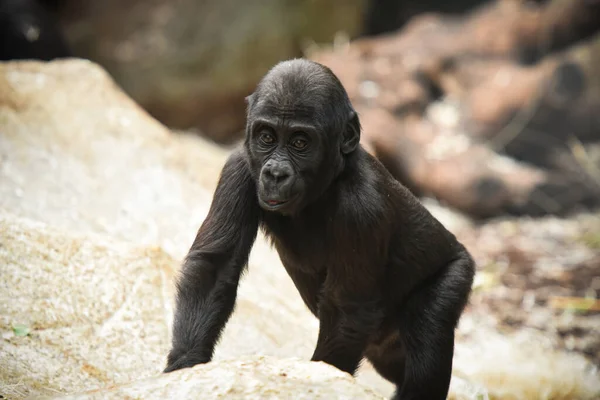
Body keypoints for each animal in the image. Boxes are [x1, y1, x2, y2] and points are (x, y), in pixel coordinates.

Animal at [164, 57, 474, 398]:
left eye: (300, 142)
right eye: (267, 137)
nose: (275, 174)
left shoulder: (363, 207)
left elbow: (347, 309)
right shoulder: (239, 166)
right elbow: (214, 269)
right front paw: (184, 365)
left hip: (456, 271)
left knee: (428, 336)